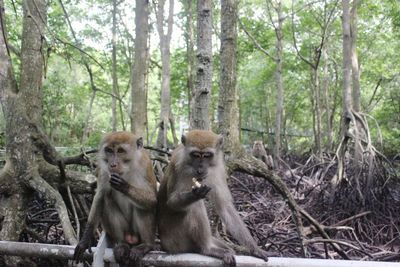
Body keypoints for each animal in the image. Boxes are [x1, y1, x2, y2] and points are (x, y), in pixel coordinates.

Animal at [74, 132, 158, 267]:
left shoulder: (146, 166)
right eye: (109, 151)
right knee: (106, 199)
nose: (112, 164)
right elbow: (100, 196)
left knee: (142, 207)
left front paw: (124, 186)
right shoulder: (104, 170)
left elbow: (152, 199)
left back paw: (146, 245)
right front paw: (85, 240)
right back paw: (121, 244)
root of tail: (131, 237)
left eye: (120, 151)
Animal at [156, 130, 268, 267]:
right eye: (196, 155)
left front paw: (254, 248)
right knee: (195, 205)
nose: (200, 168)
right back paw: (207, 248)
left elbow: (224, 206)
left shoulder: (218, 168)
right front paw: (195, 194)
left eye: (207, 155)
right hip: (176, 241)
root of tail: (164, 244)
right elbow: (172, 203)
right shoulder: (179, 165)